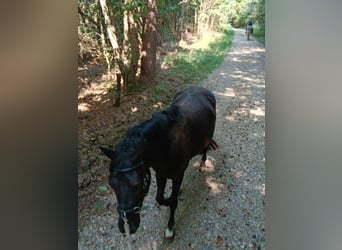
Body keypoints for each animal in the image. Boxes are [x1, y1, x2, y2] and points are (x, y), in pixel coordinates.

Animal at [99, 85, 216, 238]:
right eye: (111, 184)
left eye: (136, 185)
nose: (126, 226)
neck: (165, 144)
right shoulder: (160, 173)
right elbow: (160, 198)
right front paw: (171, 198)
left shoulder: (177, 175)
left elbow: (172, 201)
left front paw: (170, 227)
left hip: (207, 138)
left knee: (205, 148)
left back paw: (202, 163)